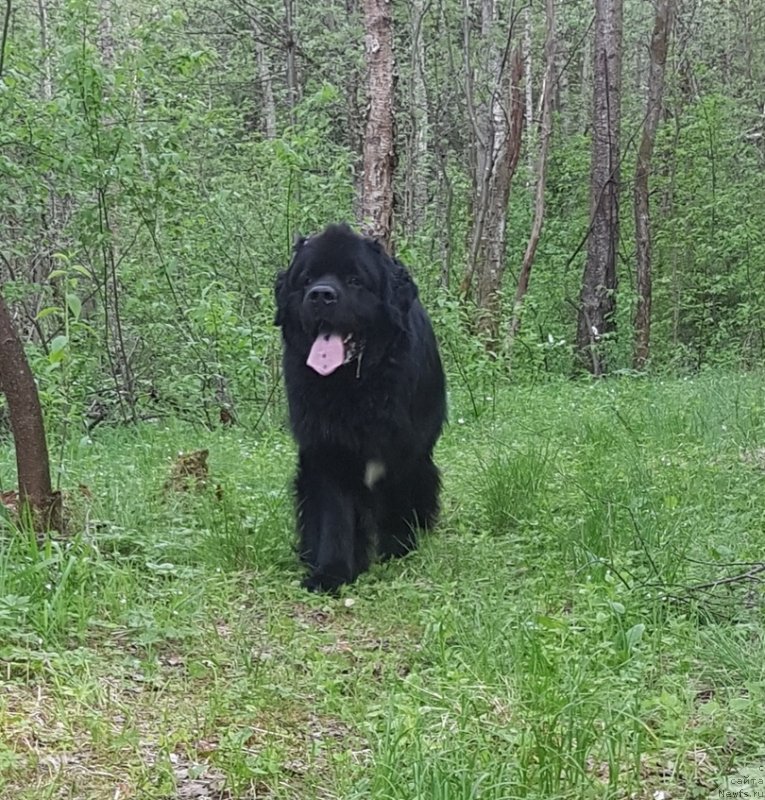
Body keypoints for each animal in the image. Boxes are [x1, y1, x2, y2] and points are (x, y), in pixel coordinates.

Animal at [274, 222, 444, 592]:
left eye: (354, 280)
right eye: (307, 279)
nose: (321, 295)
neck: (355, 387)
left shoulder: (405, 448)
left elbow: (397, 500)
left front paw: (396, 550)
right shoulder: (327, 450)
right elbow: (335, 516)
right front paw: (331, 572)